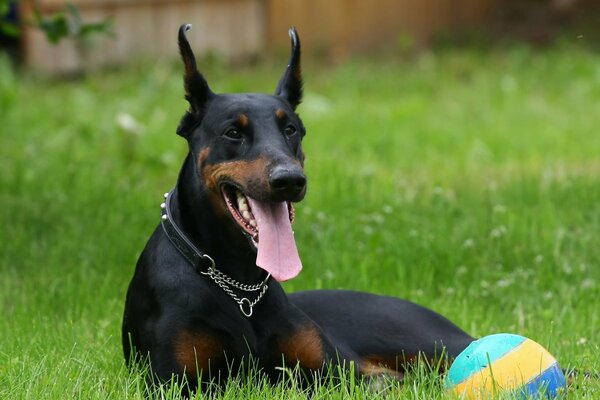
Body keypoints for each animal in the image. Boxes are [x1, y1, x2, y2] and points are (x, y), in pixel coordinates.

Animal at [122, 23, 474, 390]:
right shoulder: (172, 381)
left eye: (290, 129)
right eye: (233, 132)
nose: (289, 179)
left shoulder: (335, 371)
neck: (240, 287)